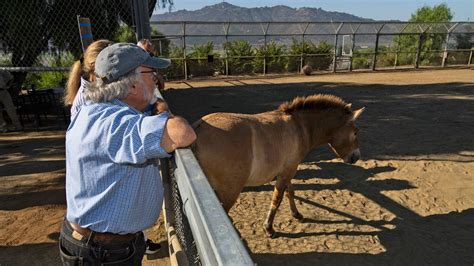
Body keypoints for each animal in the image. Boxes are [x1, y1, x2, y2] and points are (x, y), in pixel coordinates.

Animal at [191, 93, 364, 237]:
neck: (299, 126)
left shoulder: (288, 169)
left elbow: (290, 192)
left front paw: (297, 214)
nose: (356, 156)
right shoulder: (288, 170)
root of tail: (198, 129)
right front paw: (269, 228)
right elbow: (277, 198)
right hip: (229, 192)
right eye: (355, 132)